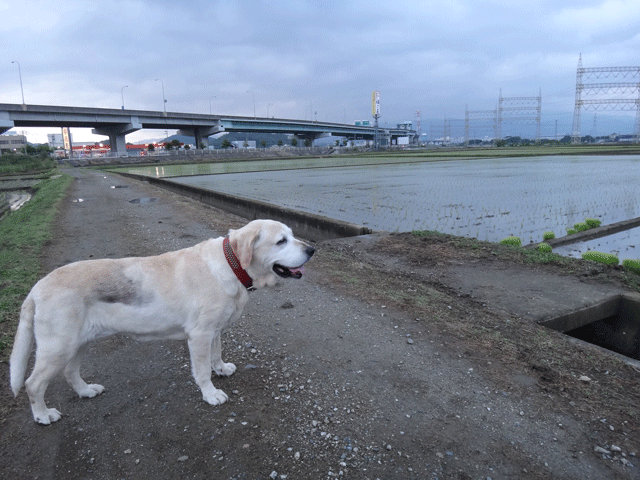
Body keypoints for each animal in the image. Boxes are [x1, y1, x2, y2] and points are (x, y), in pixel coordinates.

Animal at [11, 218, 316, 424]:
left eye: (292, 235)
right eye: (281, 241)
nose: (312, 250)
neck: (231, 265)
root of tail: (36, 288)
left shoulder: (214, 330)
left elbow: (216, 354)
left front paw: (221, 369)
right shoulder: (200, 334)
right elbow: (202, 371)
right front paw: (210, 394)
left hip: (77, 344)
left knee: (70, 372)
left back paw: (86, 391)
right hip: (58, 347)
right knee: (33, 384)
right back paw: (43, 415)